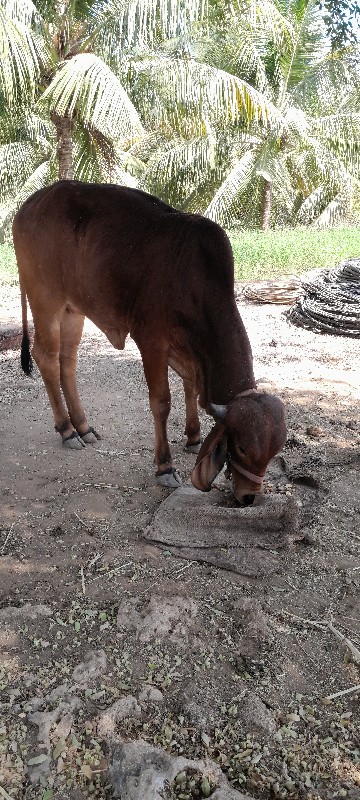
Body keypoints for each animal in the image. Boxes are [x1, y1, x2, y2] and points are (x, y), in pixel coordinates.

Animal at [12, 184, 286, 504]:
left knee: (67, 363)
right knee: (45, 357)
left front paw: (193, 437)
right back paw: (67, 430)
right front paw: (165, 467)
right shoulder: (152, 341)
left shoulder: (188, 351)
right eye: (241, 448)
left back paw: (83, 426)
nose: (249, 497)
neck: (193, 278)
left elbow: (191, 388)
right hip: (46, 302)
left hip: (73, 310)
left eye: (273, 453)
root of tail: (29, 204)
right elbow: (162, 402)